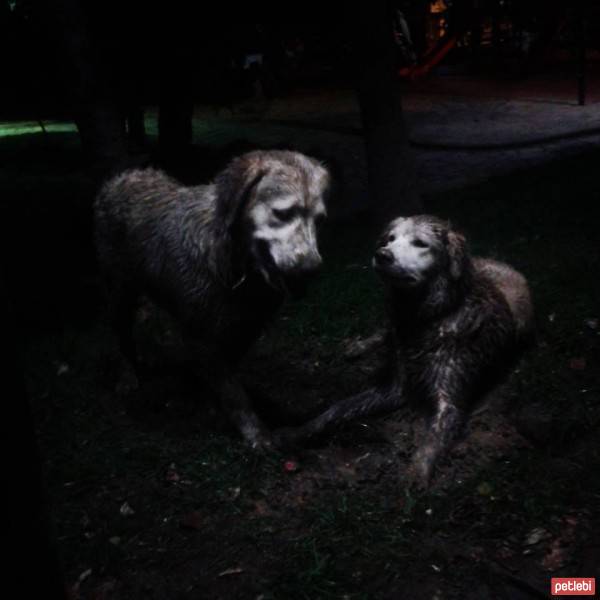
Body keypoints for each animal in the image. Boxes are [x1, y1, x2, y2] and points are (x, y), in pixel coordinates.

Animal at [94, 150, 328, 448]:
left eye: (319, 220)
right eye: (282, 213)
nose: (312, 269)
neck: (235, 268)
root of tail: (124, 176)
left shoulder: (244, 330)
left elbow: (225, 378)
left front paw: (209, 402)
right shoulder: (200, 335)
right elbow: (233, 392)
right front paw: (255, 432)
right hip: (119, 293)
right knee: (122, 336)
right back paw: (128, 374)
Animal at [274, 214, 532, 482]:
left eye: (420, 243)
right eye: (389, 239)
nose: (381, 254)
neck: (426, 319)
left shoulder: (449, 403)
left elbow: (429, 445)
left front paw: (414, 477)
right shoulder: (394, 387)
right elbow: (337, 409)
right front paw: (298, 432)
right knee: (386, 331)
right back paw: (358, 347)